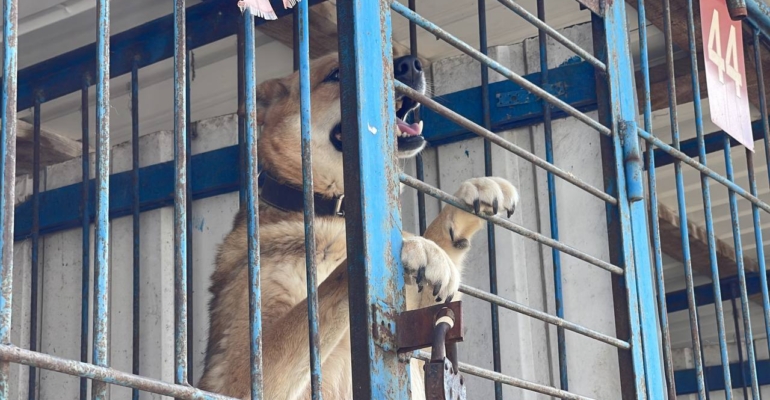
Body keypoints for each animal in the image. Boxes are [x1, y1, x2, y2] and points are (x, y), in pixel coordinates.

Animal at [196, 50, 520, 400]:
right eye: (336, 74)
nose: (410, 64)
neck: (325, 208)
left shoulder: (416, 338)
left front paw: (472, 196)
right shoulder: (240, 377)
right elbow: (333, 281)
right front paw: (409, 244)